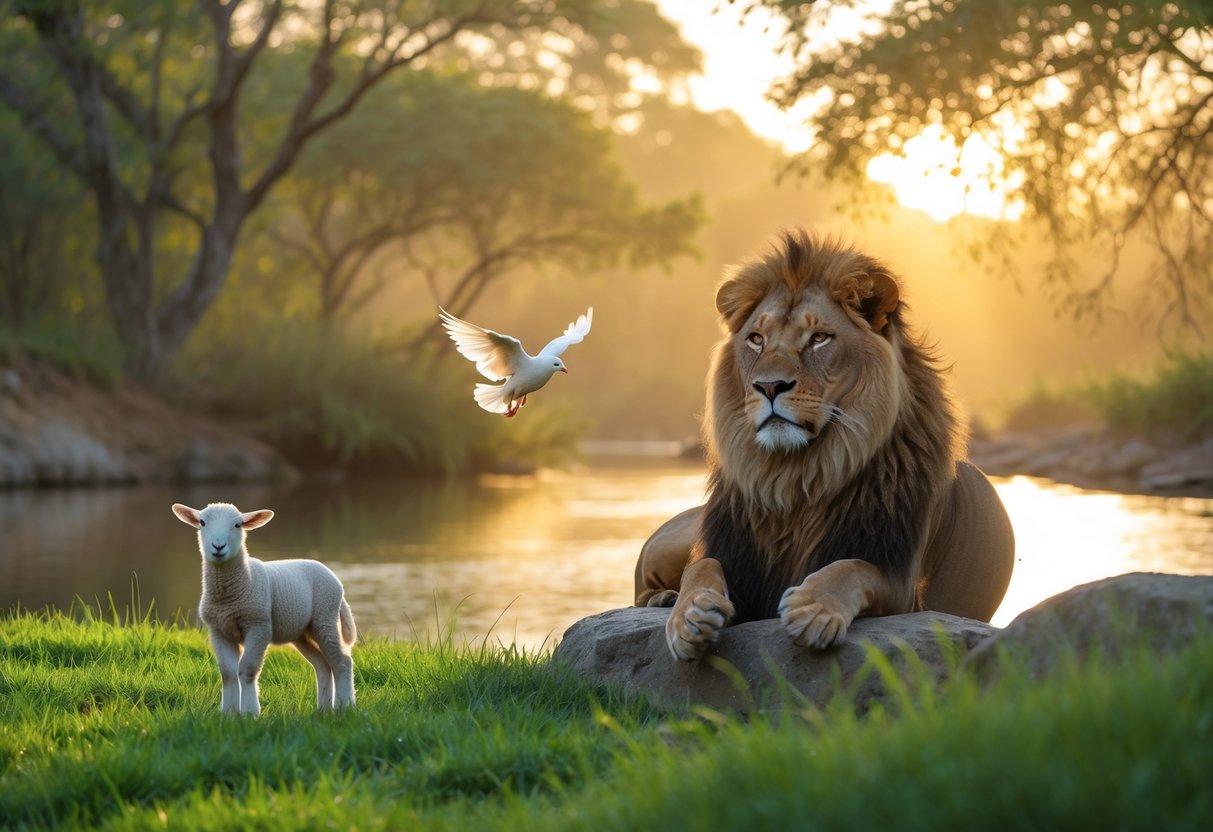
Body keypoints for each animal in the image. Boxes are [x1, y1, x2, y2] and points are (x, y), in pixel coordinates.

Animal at [171, 501, 357, 716]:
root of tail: (336, 581)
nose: (218, 546)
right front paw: (229, 713)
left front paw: (250, 711)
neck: (229, 597)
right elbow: (228, 673)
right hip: (302, 631)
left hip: (325, 616)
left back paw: (345, 706)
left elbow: (247, 669)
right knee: (323, 665)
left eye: (238, 525)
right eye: (202, 522)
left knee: (342, 661)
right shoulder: (218, 631)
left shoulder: (259, 626)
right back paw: (324, 709)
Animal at [635, 229, 1015, 661]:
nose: (768, 386)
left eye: (819, 338)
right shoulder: (736, 559)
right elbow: (701, 566)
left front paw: (814, 609)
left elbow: (852, 567)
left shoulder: (904, 584)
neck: (794, 478)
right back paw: (664, 597)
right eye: (756, 339)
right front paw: (691, 614)